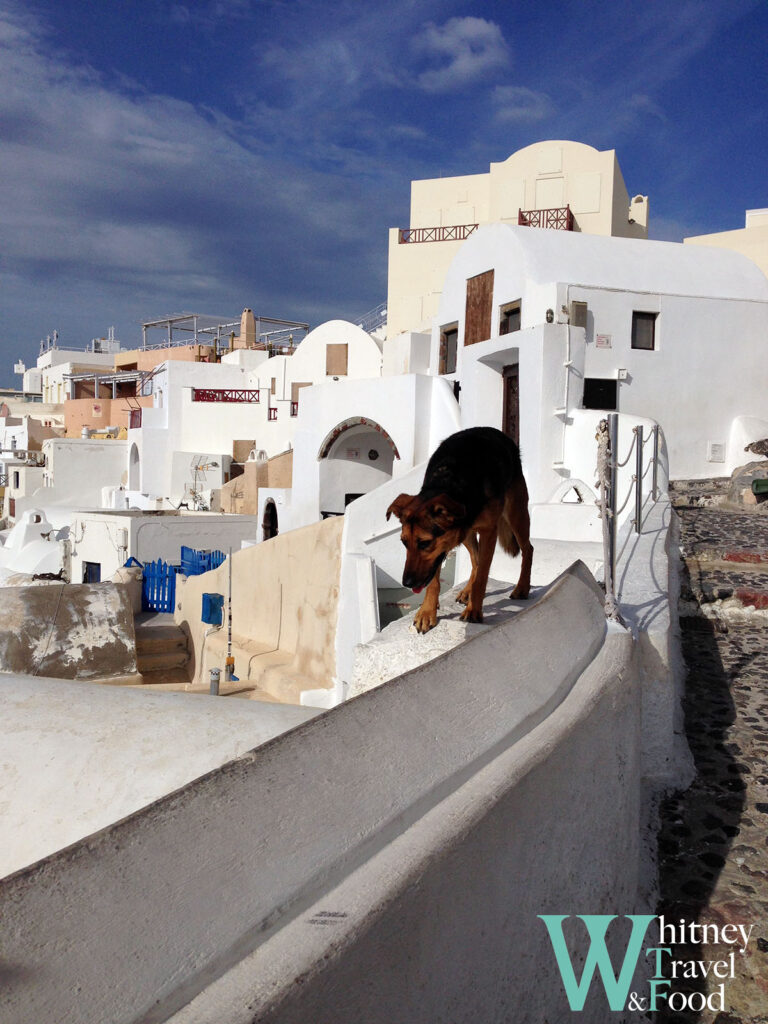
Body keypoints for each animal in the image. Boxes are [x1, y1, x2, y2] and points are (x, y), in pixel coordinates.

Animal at [385, 423, 536, 630]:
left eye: (424, 543)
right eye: (403, 543)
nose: (407, 583)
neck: (451, 482)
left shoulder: (489, 532)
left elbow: (482, 577)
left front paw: (474, 611)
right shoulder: (440, 552)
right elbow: (435, 581)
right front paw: (427, 611)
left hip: (516, 513)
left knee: (528, 549)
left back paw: (522, 587)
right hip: (466, 533)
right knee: (476, 559)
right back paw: (467, 591)